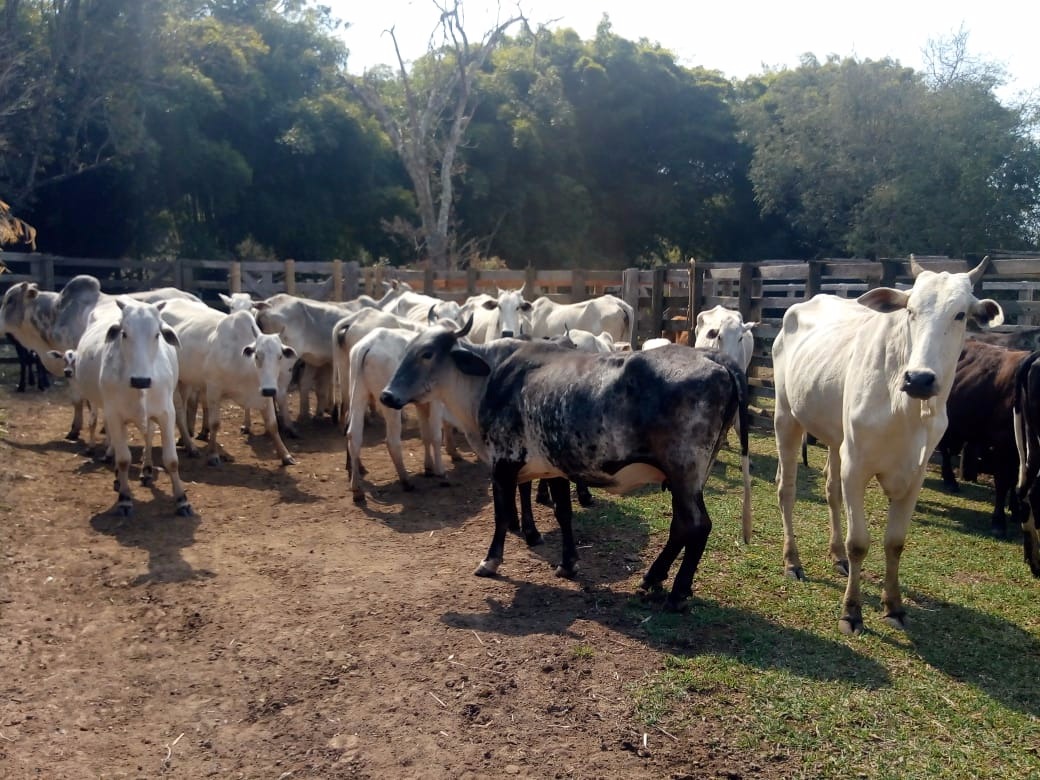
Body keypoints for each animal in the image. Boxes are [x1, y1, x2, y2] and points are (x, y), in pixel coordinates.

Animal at [74, 301, 192, 520]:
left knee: (148, 434)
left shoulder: (166, 413)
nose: (141, 380)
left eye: (157, 334)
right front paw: (125, 499)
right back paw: (118, 478)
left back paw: (146, 470)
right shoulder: (114, 414)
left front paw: (182, 500)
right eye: (124, 333)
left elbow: (171, 460)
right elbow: (123, 460)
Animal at [380, 316, 748, 611]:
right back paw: (655, 578)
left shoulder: (502, 463)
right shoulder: (553, 466)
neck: (489, 379)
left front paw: (490, 561)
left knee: (697, 525)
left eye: (427, 354)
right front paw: (568, 563)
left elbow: (502, 516)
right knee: (681, 526)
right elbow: (563, 512)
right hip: (687, 478)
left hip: (684, 471)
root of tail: (713, 357)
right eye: (407, 350)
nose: (386, 395)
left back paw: (675, 593)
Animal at [777, 260, 1002, 636]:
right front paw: (851, 612)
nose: (920, 379)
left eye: (960, 314)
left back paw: (835, 555)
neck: (906, 410)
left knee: (830, 489)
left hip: (836, 438)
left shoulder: (915, 473)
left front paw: (894, 606)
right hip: (786, 417)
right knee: (787, 489)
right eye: (910, 310)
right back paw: (792, 560)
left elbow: (895, 542)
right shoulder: (857, 466)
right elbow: (859, 543)